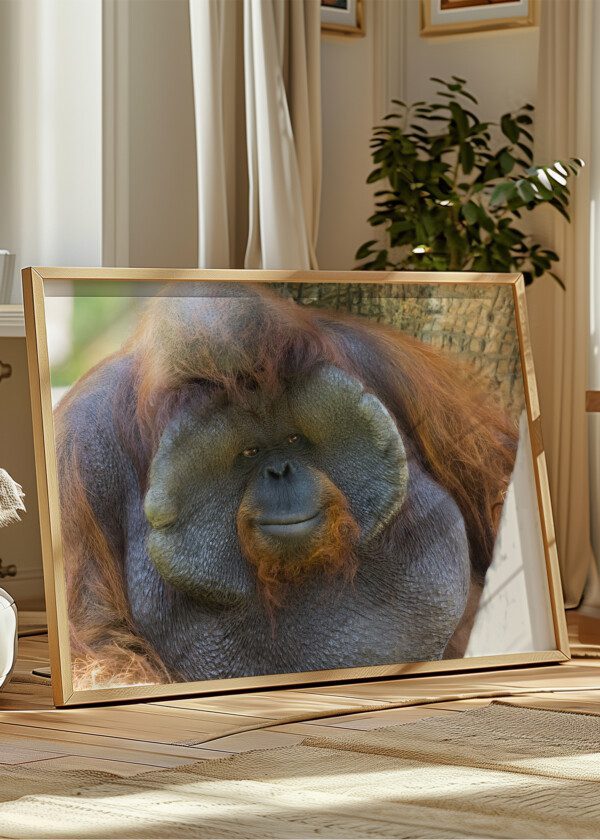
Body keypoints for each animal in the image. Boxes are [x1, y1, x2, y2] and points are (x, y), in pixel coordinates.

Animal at [54, 283, 517, 689]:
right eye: (250, 452)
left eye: (294, 439)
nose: (280, 471)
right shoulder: (78, 451)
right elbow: (100, 647)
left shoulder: (396, 369)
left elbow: (498, 485)